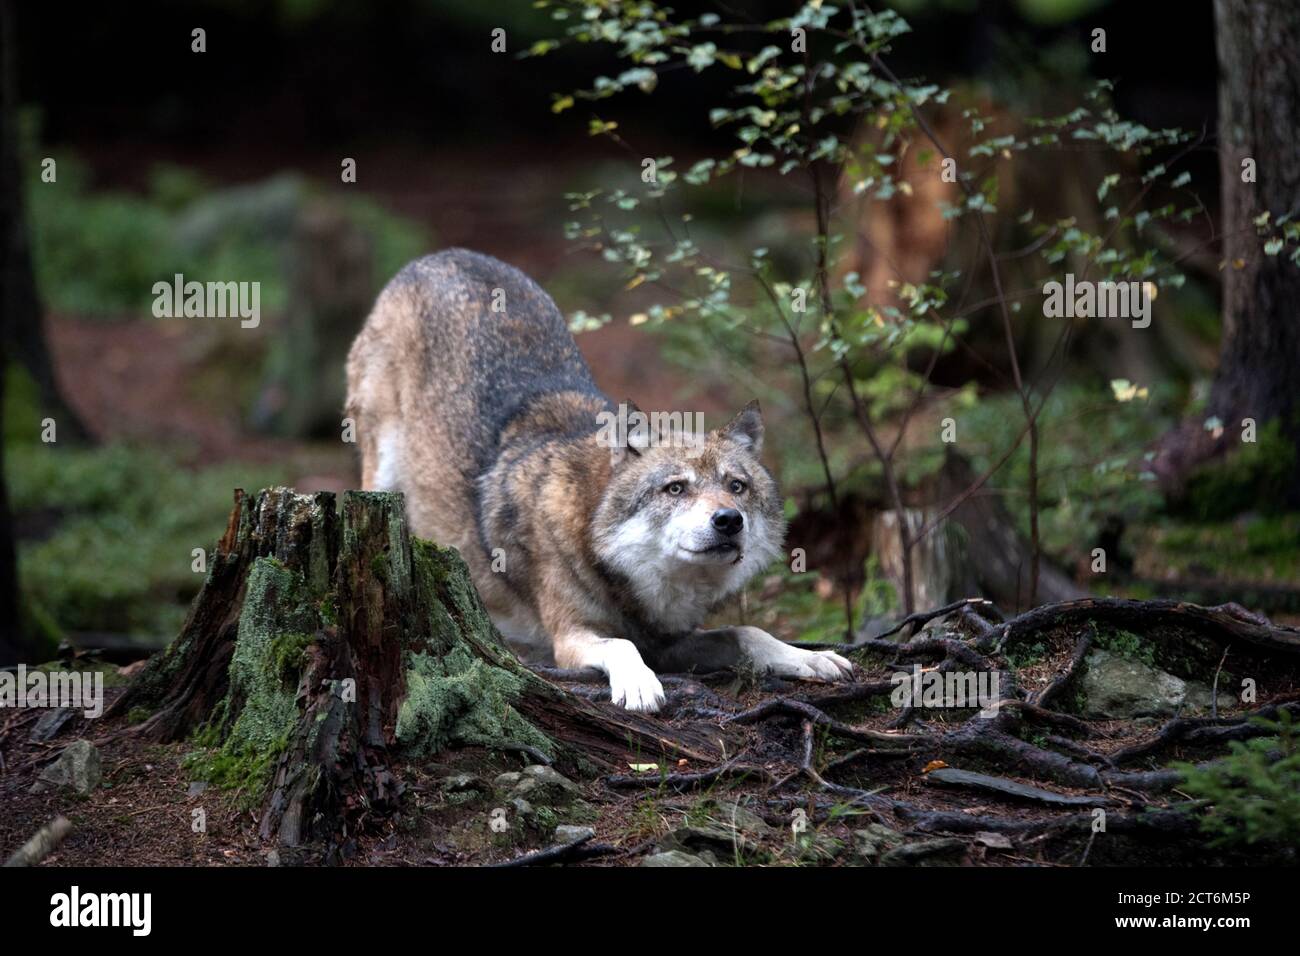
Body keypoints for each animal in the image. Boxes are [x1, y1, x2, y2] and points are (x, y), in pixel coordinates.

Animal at [345, 251, 852, 712]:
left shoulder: (669, 643)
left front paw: (812, 658)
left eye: (736, 487)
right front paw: (640, 686)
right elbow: (620, 645)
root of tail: (438, 256)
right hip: (381, 470)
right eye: (675, 488)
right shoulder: (570, 638)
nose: (729, 520)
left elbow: (750, 631)